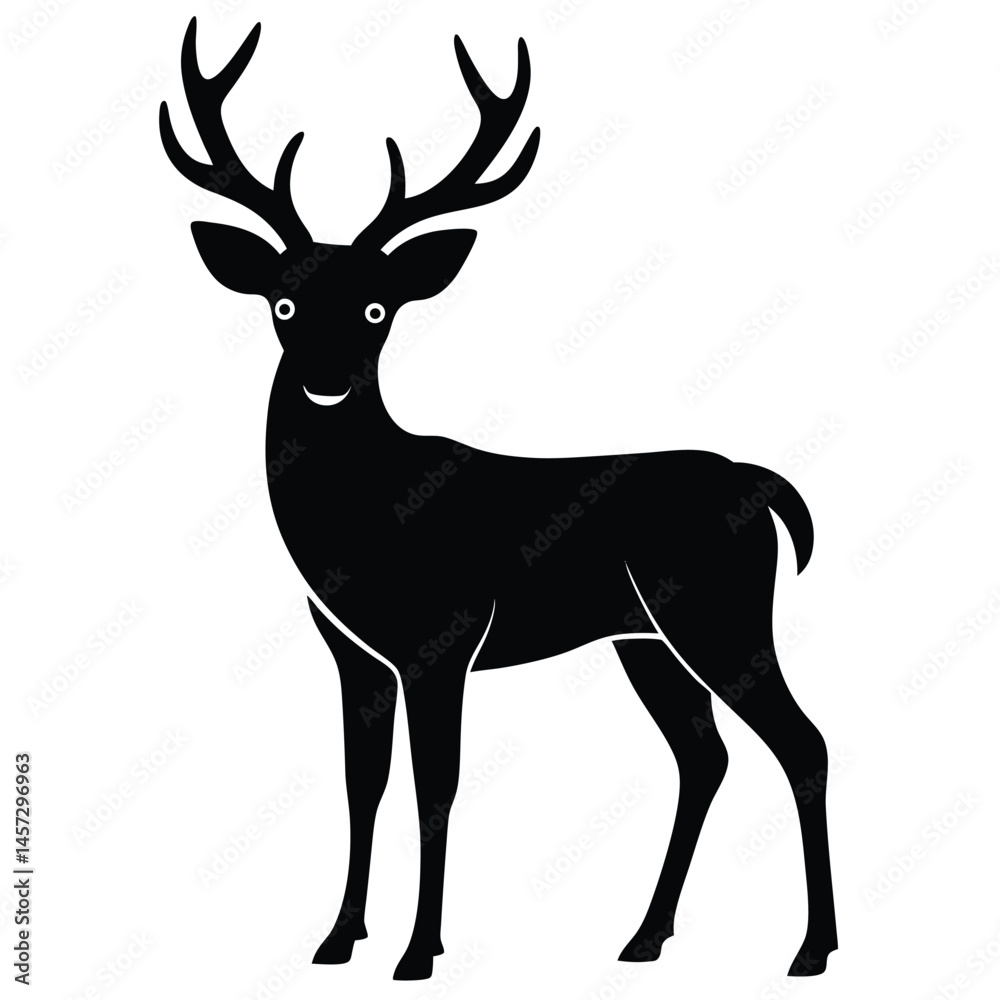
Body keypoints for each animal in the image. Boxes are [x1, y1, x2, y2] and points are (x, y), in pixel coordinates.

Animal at [160, 18, 837, 982]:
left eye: (378, 309)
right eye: (283, 303)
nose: (326, 384)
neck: (363, 525)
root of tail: (763, 484)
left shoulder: (443, 637)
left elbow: (434, 787)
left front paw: (419, 952)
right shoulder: (350, 650)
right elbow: (360, 785)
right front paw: (336, 939)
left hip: (720, 611)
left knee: (801, 741)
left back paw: (811, 949)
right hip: (648, 641)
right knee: (703, 757)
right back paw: (644, 937)